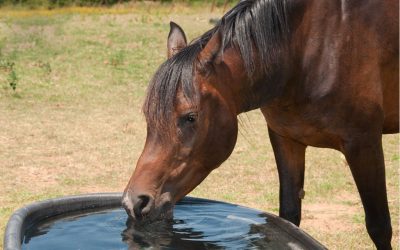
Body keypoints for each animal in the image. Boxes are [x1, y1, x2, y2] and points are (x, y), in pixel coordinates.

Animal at [123, 0, 398, 249]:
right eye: (148, 116)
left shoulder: (363, 143)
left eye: (190, 117)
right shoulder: (286, 139)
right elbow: (288, 218)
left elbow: (379, 226)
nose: (134, 203)